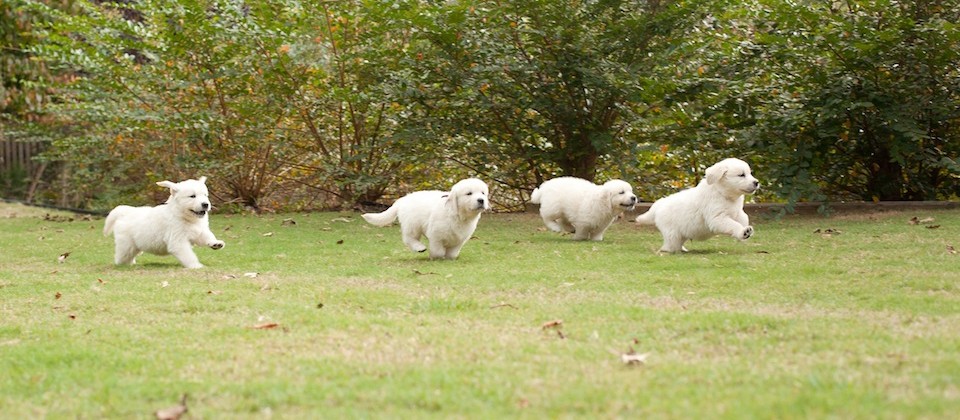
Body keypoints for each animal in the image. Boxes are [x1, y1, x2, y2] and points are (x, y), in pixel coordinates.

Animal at [364, 178, 492, 260]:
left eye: (483, 193)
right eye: (469, 193)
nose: (481, 200)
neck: (458, 214)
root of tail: (403, 199)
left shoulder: (460, 238)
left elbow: (453, 252)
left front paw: (449, 257)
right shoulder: (436, 235)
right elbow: (438, 250)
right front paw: (435, 256)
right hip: (412, 224)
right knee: (409, 238)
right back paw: (419, 248)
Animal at [632, 159, 760, 253]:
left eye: (749, 173)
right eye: (741, 175)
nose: (756, 182)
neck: (722, 193)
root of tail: (659, 205)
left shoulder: (737, 212)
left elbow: (743, 219)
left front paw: (746, 231)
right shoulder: (717, 218)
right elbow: (733, 224)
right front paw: (743, 232)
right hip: (672, 232)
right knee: (670, 245)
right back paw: (670, 251)